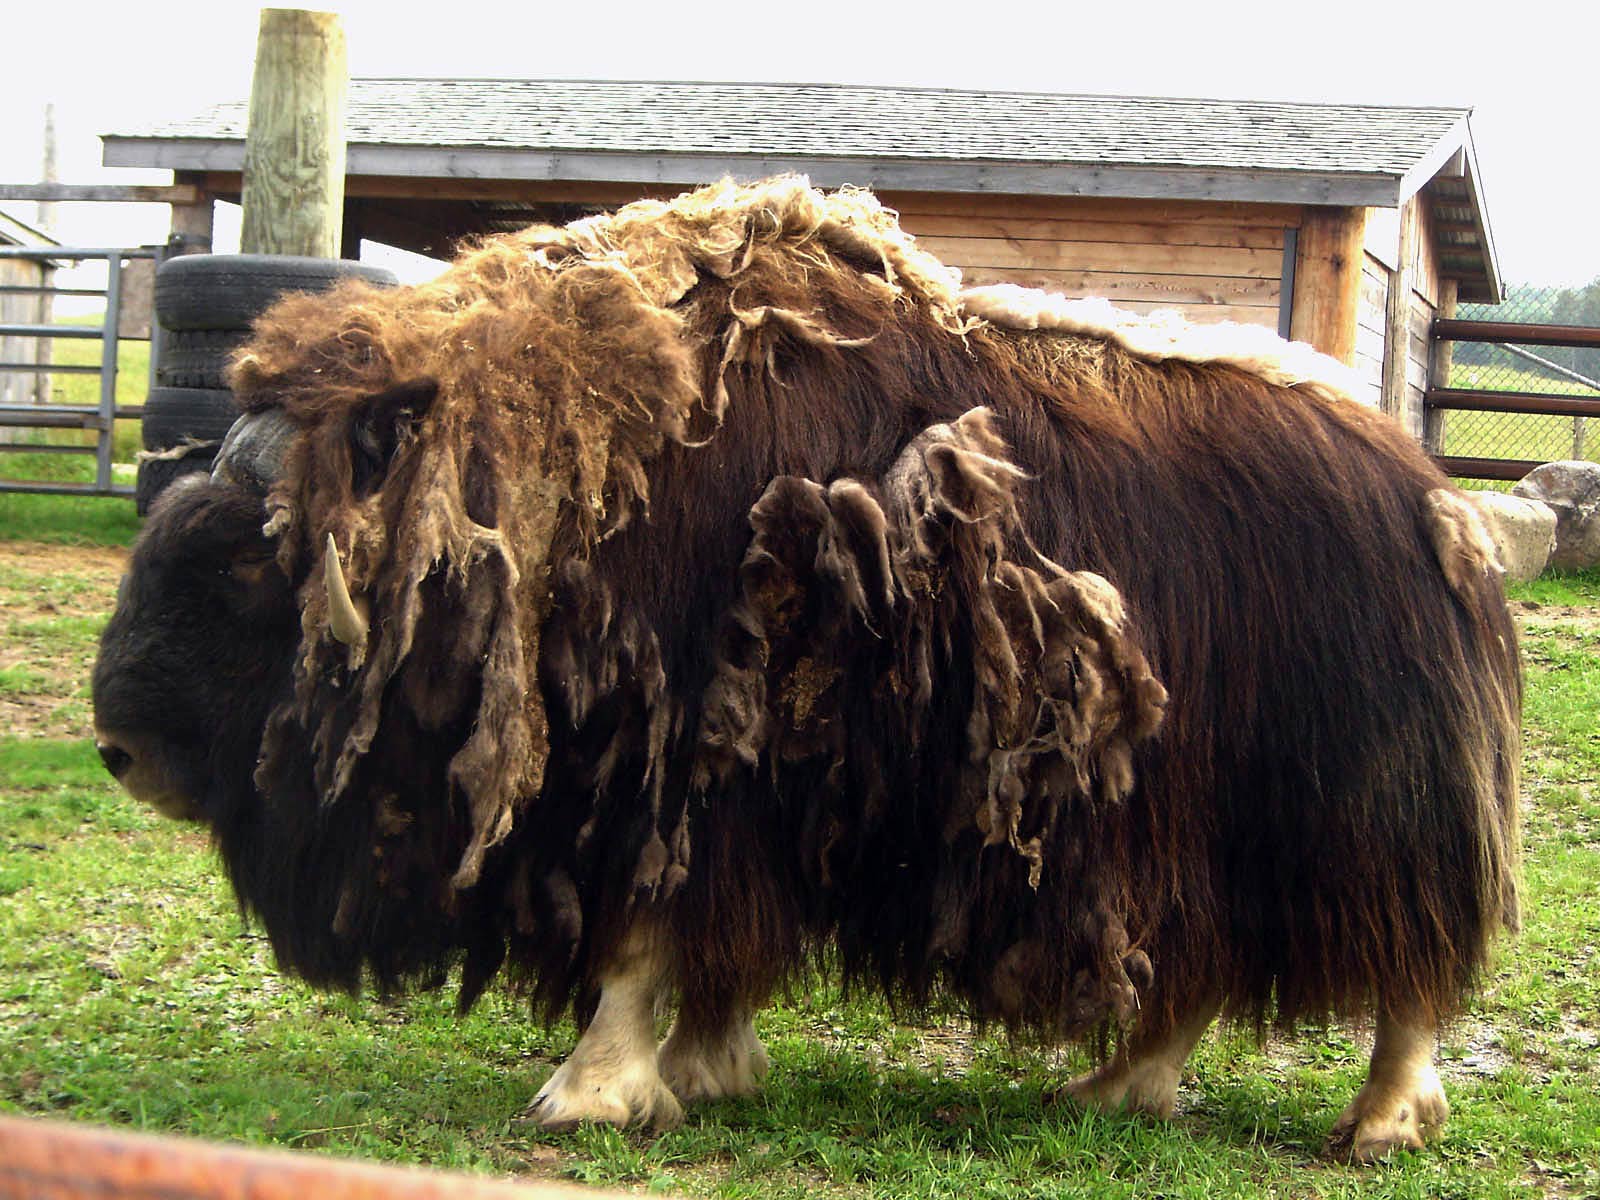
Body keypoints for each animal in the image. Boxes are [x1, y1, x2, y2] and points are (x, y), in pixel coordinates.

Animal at [92, 178, 1521, 1162]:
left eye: (249, 560)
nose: (123, 749)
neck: (545, 481)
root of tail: (1433, 495)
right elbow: (712, 953)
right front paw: (707, 1070)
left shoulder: (676, 777)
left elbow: (641, 934)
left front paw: (589, 1095)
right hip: (1185, 827)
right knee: (1191, 969)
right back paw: (1110, 1087)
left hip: (1363, 818)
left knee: (1406, 972)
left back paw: (1379, 1123)